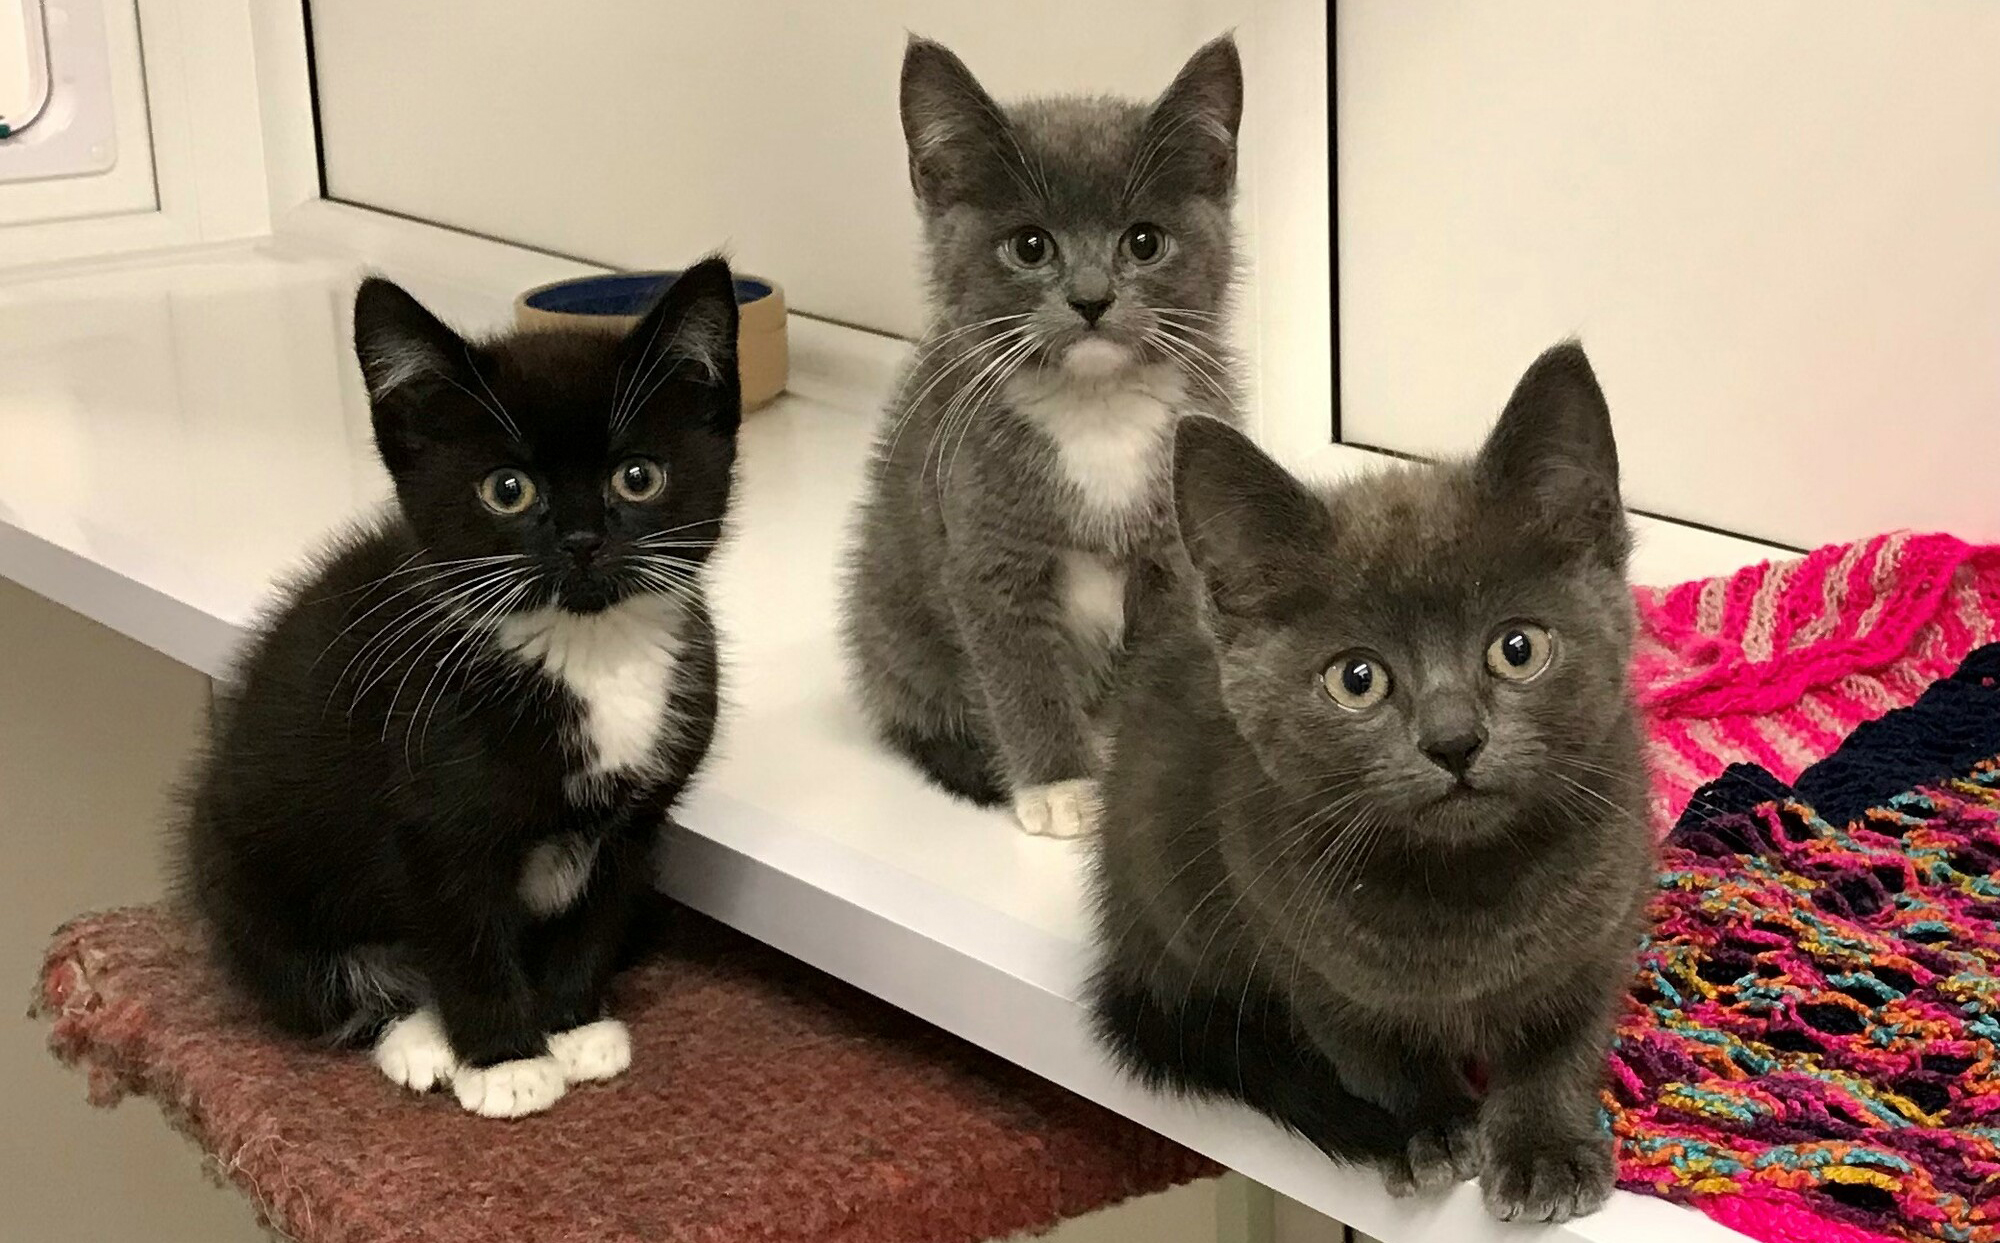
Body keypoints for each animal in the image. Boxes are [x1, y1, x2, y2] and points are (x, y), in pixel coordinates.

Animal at [178, 259, 744, 1119]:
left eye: (638, 477)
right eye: (507, 489)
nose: (582, 541)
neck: (586, 648)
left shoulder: (637, 821)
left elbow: (597, 914)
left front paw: (572, 1024)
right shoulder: (429, 821)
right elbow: (465, 935)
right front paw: (506, 1060)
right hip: (243, 874)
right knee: (327, 980)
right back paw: (416, 1034)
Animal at [840, 33, 1240, 843]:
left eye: (1144, 242)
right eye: (1030, 246)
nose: (1091, 298)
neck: (1096, 411)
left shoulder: (1173, 561)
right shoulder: (984, 548)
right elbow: (1018, 667)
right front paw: (1060, 785)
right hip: (888, 618)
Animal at [1088, 343, 1648, 1231]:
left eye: (1517, 647)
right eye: (1357, 679)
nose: (1454, 739)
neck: (1462, 889)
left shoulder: (1606, 924)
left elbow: (1564, 1041)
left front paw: (1545, 1148)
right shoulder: (1306, 960)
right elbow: (1374, 1054)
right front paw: (1432, 1124)